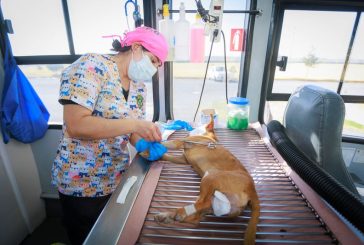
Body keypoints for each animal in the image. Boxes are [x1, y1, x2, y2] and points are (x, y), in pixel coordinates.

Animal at [139, 116, 258, 244]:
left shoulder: (181, 142)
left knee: (201, 204)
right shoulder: (183, 159)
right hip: (212, 200)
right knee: (196, 216)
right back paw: (169, 216)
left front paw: (149, 149)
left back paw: (175, 214)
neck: (207, 136)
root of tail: (252, 190)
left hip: (210, 176)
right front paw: (155, 155)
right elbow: (168, 156)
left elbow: (166, 143)